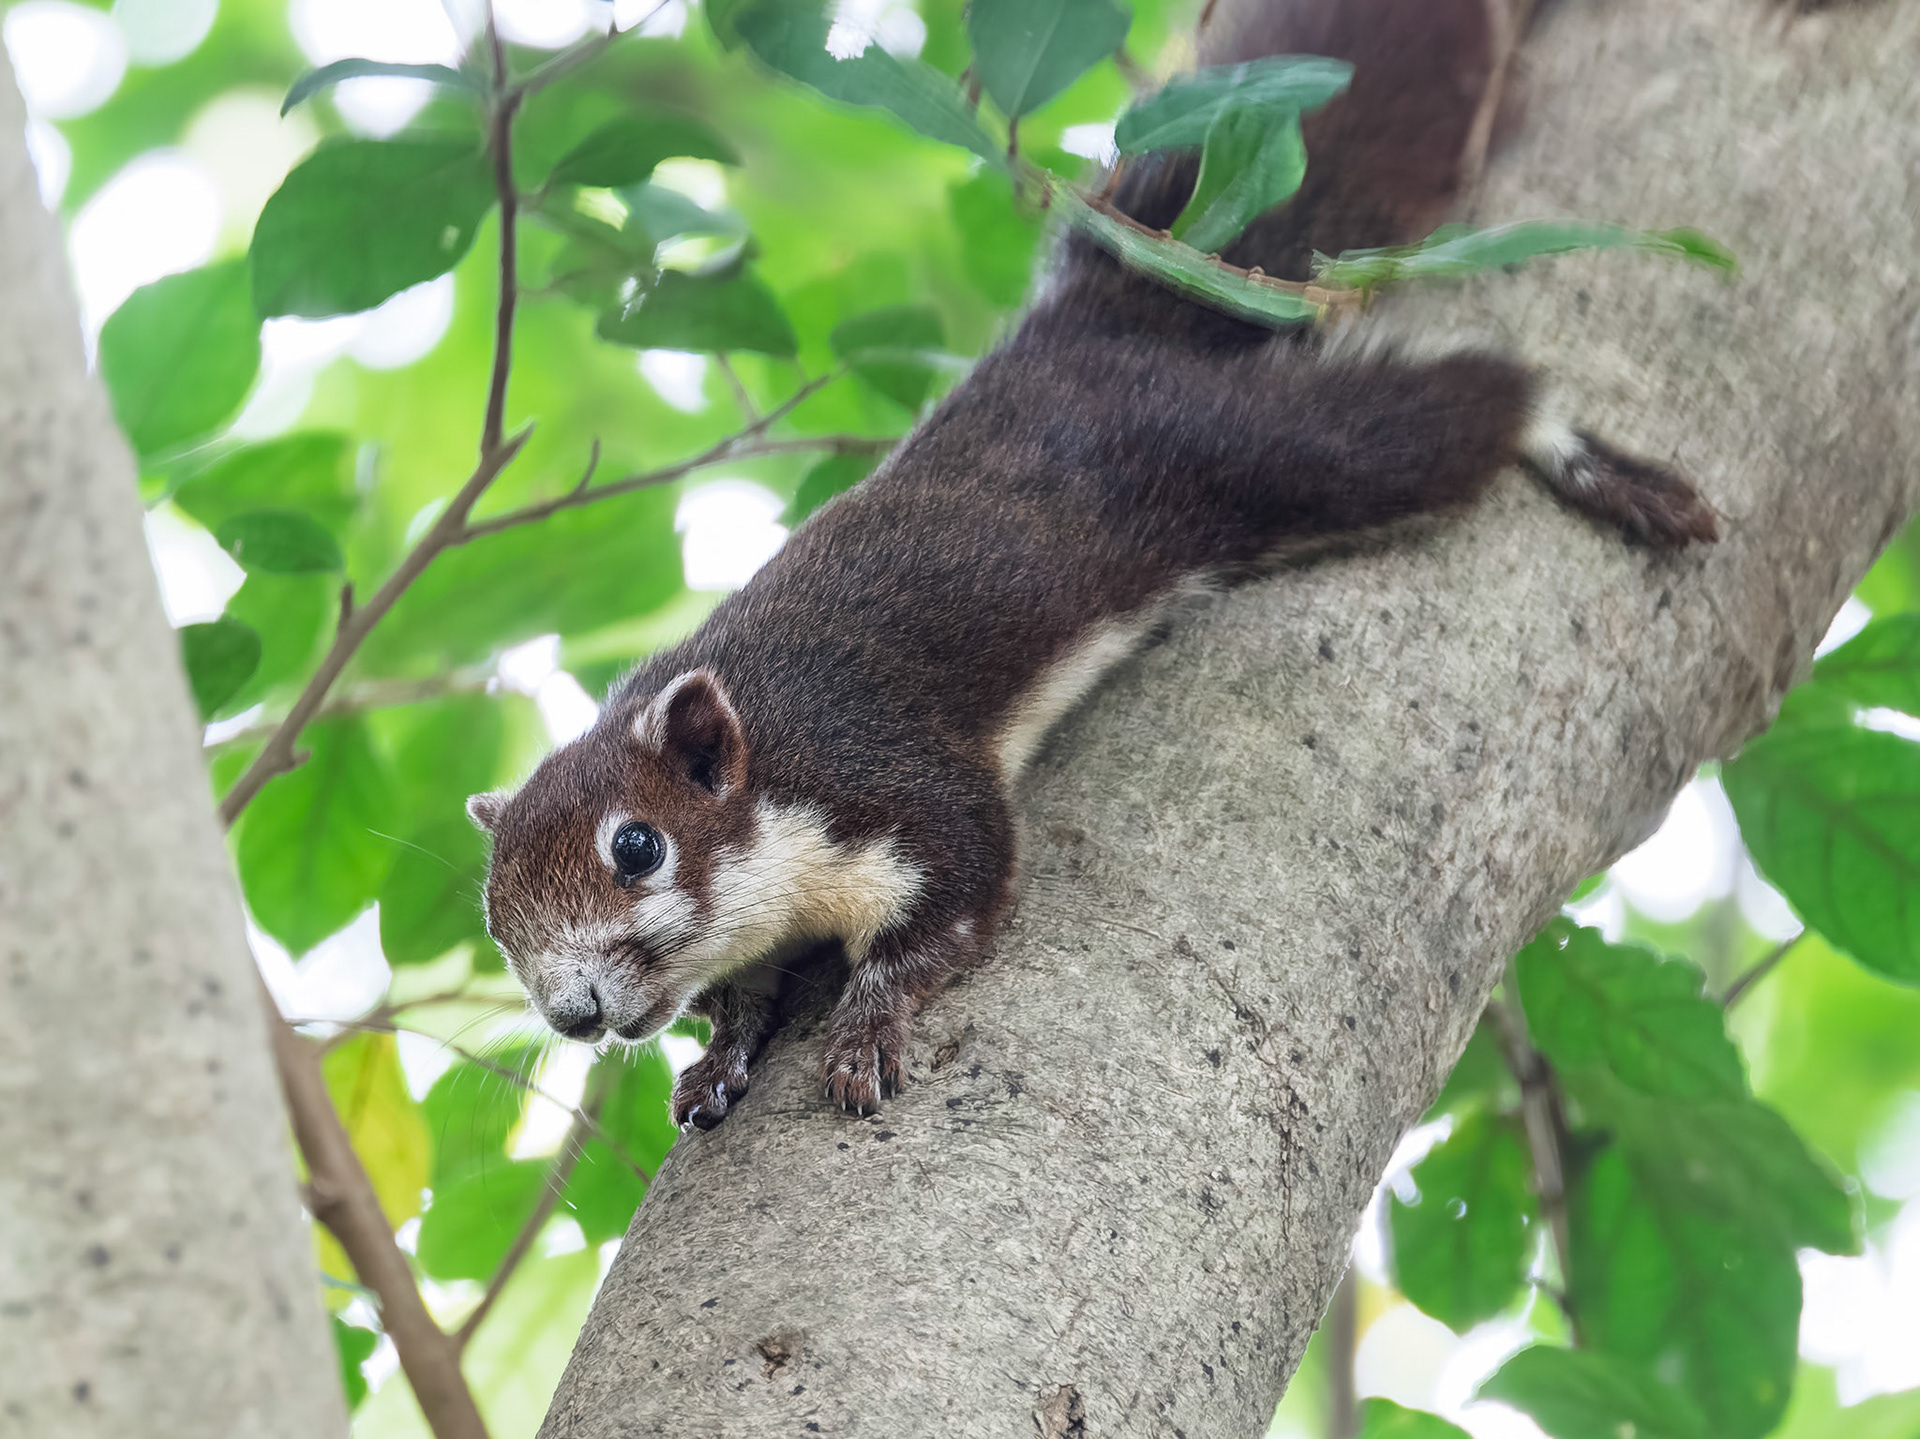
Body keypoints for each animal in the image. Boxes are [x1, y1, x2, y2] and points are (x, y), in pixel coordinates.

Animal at [467, 0, 1717, 1129]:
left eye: (637, 845)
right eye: (493, 910)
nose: (574, 1013)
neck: (767, 780)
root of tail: (1088, 332)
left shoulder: (890, 779)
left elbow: (956, 902)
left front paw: (866, 1027)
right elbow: (742, 997)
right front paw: (718, 1058)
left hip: (1225, 454)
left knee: (1466, 407)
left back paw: (1586, 455)